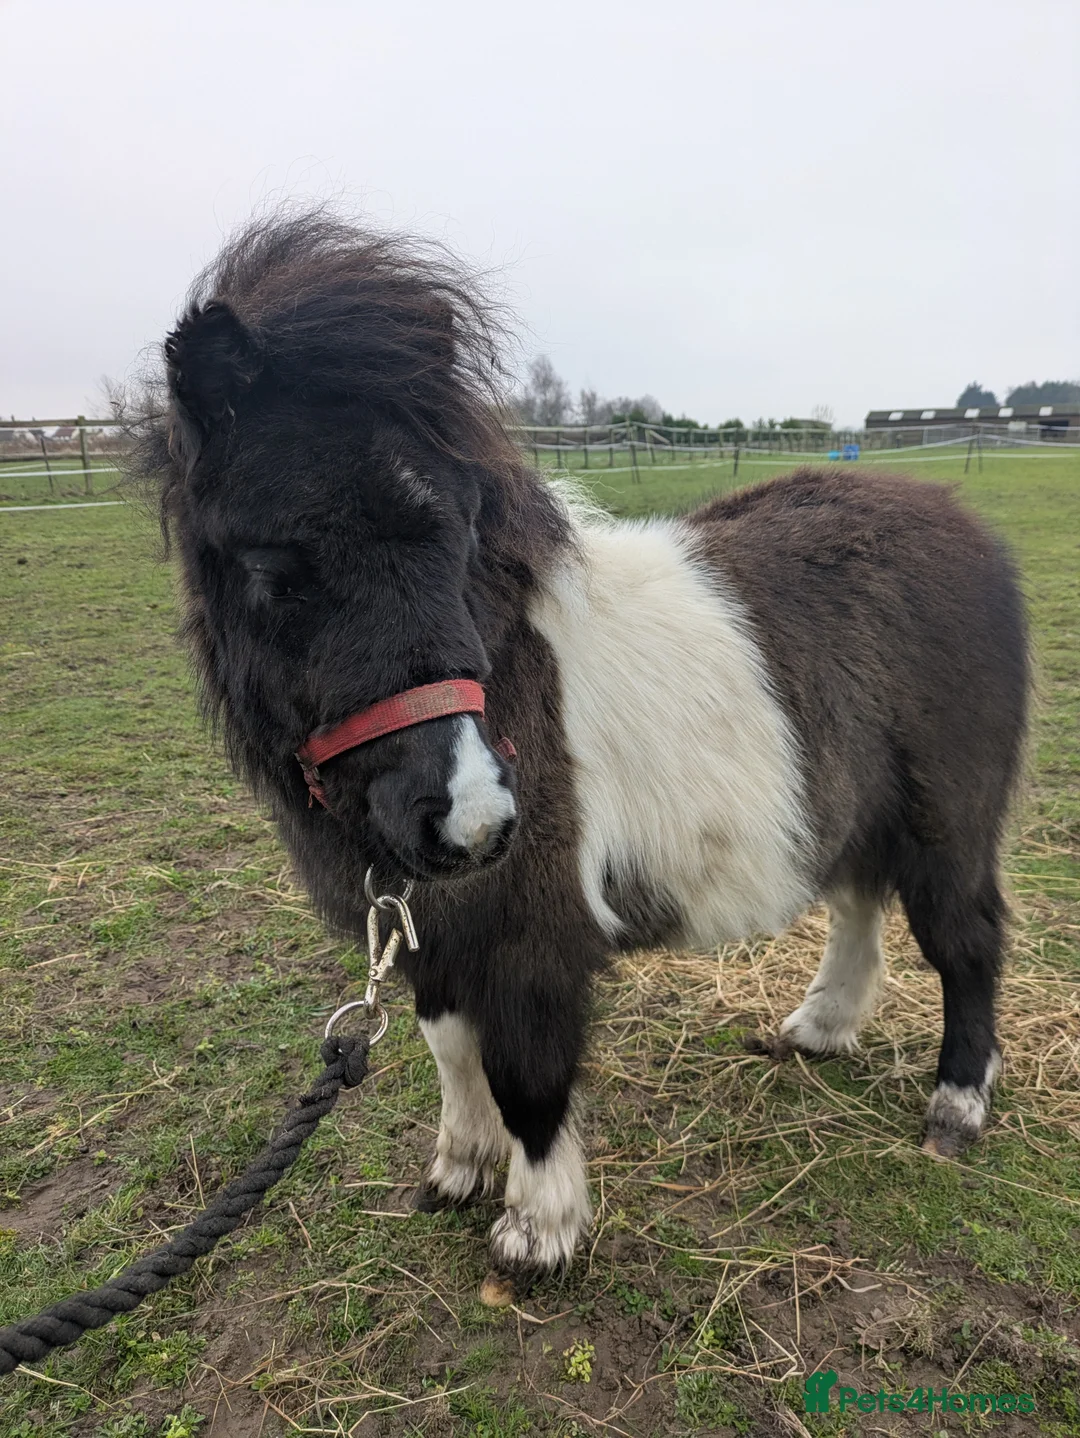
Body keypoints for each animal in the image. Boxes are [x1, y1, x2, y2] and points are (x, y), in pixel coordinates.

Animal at [133, 211, 1029, 1297]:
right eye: (273, 568)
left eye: (458, 532)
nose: (474, 819)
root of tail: (965, 529)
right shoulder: (437, 926)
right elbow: (449, 1046)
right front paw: (458, 1171)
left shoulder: (531, 936)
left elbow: (527, 1076)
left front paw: (537, 1231)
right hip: (852, 802)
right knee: (858, 899)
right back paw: (819, 1030)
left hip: (950, 818)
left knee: (966, 941)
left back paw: (955, 1109)